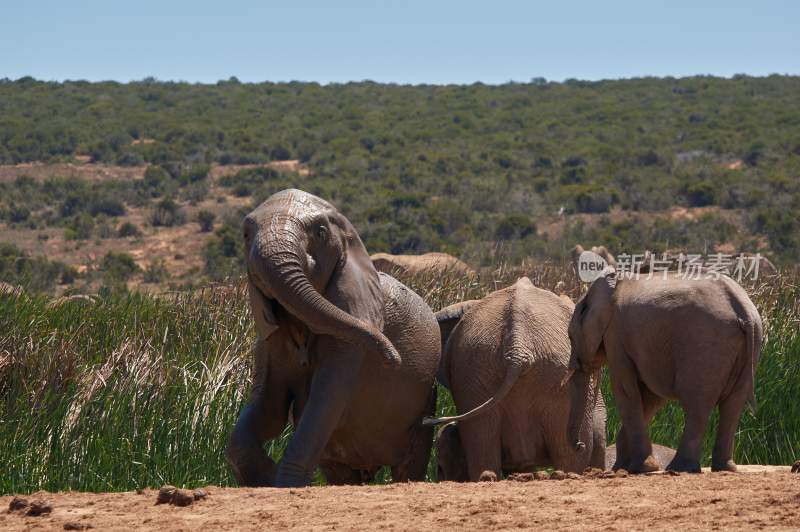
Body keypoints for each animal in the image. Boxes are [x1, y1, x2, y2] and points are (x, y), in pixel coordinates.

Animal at [225, 189, 440, 488]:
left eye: (321, 233)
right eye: (246, 235)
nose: (393, 359)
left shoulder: (351, 337)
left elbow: (325, 399)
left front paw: (283, 484)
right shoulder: (269, 341)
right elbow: (269, 408)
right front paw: (264, 477)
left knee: (410, 463)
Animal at [564, 270, 764, 474]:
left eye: (570, 336)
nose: (580, 445)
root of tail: (743, 309)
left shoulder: (616, 334)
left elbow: (625, 389)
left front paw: (640, 468)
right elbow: (650, 396)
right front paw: (627, 468)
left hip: (706, 344)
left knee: (697, 404)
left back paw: (680, 468)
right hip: (749, 345)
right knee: (733, 404)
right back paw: (724, 468)